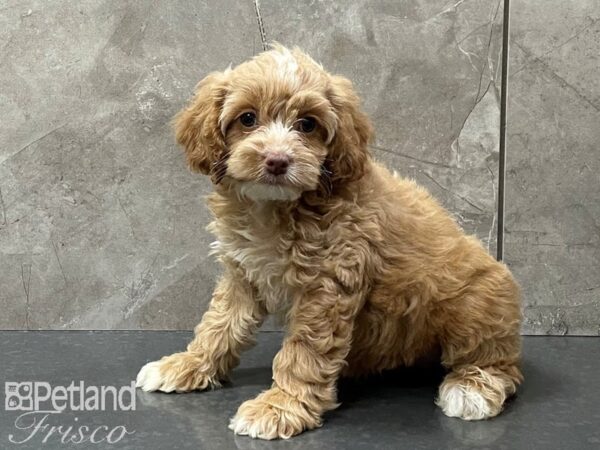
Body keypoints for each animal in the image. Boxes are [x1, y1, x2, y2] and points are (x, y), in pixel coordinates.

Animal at [136, 44, 520, 440]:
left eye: (307, 124)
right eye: (247, 118)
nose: (277, 160)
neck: (276, 208)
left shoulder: (327, 286)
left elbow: (303, 352)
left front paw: (281, 406)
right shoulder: (243, 274)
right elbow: (219, 324)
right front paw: (189, 363)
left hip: (476, 305)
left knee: (498, 361)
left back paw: (473, 387)